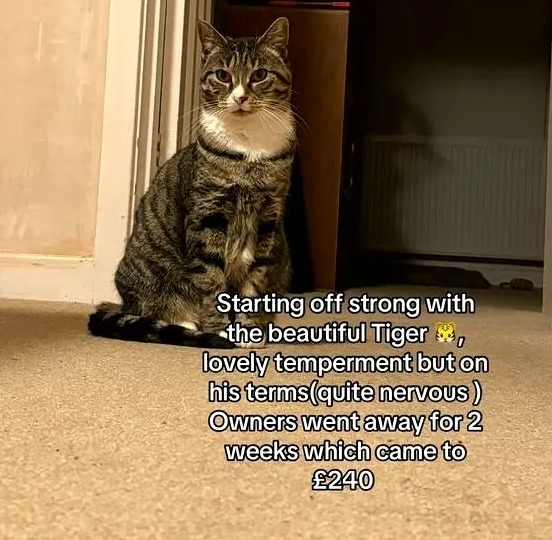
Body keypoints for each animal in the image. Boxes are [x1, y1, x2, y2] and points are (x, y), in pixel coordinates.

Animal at [89, 17, 298, 350]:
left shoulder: (268, 219)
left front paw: (250, 331)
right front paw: (219, 332)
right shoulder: (207, 216)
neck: (249, 151)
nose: (240, 97)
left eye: (260, 75)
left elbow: (254, 282)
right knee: (152, 309)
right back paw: (185, 323)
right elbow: (212, 283)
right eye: (223, 75)